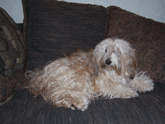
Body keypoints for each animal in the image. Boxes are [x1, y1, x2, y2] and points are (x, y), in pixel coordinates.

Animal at [25, 37, 154, 110]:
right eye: (105, 50)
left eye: (116, 51)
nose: (107, 61)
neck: (112, 71)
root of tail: (39, 76)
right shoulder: (103, 84)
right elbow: (117, 87)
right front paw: (129, 91)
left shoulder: (126, 74)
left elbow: (134, 79)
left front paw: (146, 84)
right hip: (76, 77)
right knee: (57, 94)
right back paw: (77, 103)